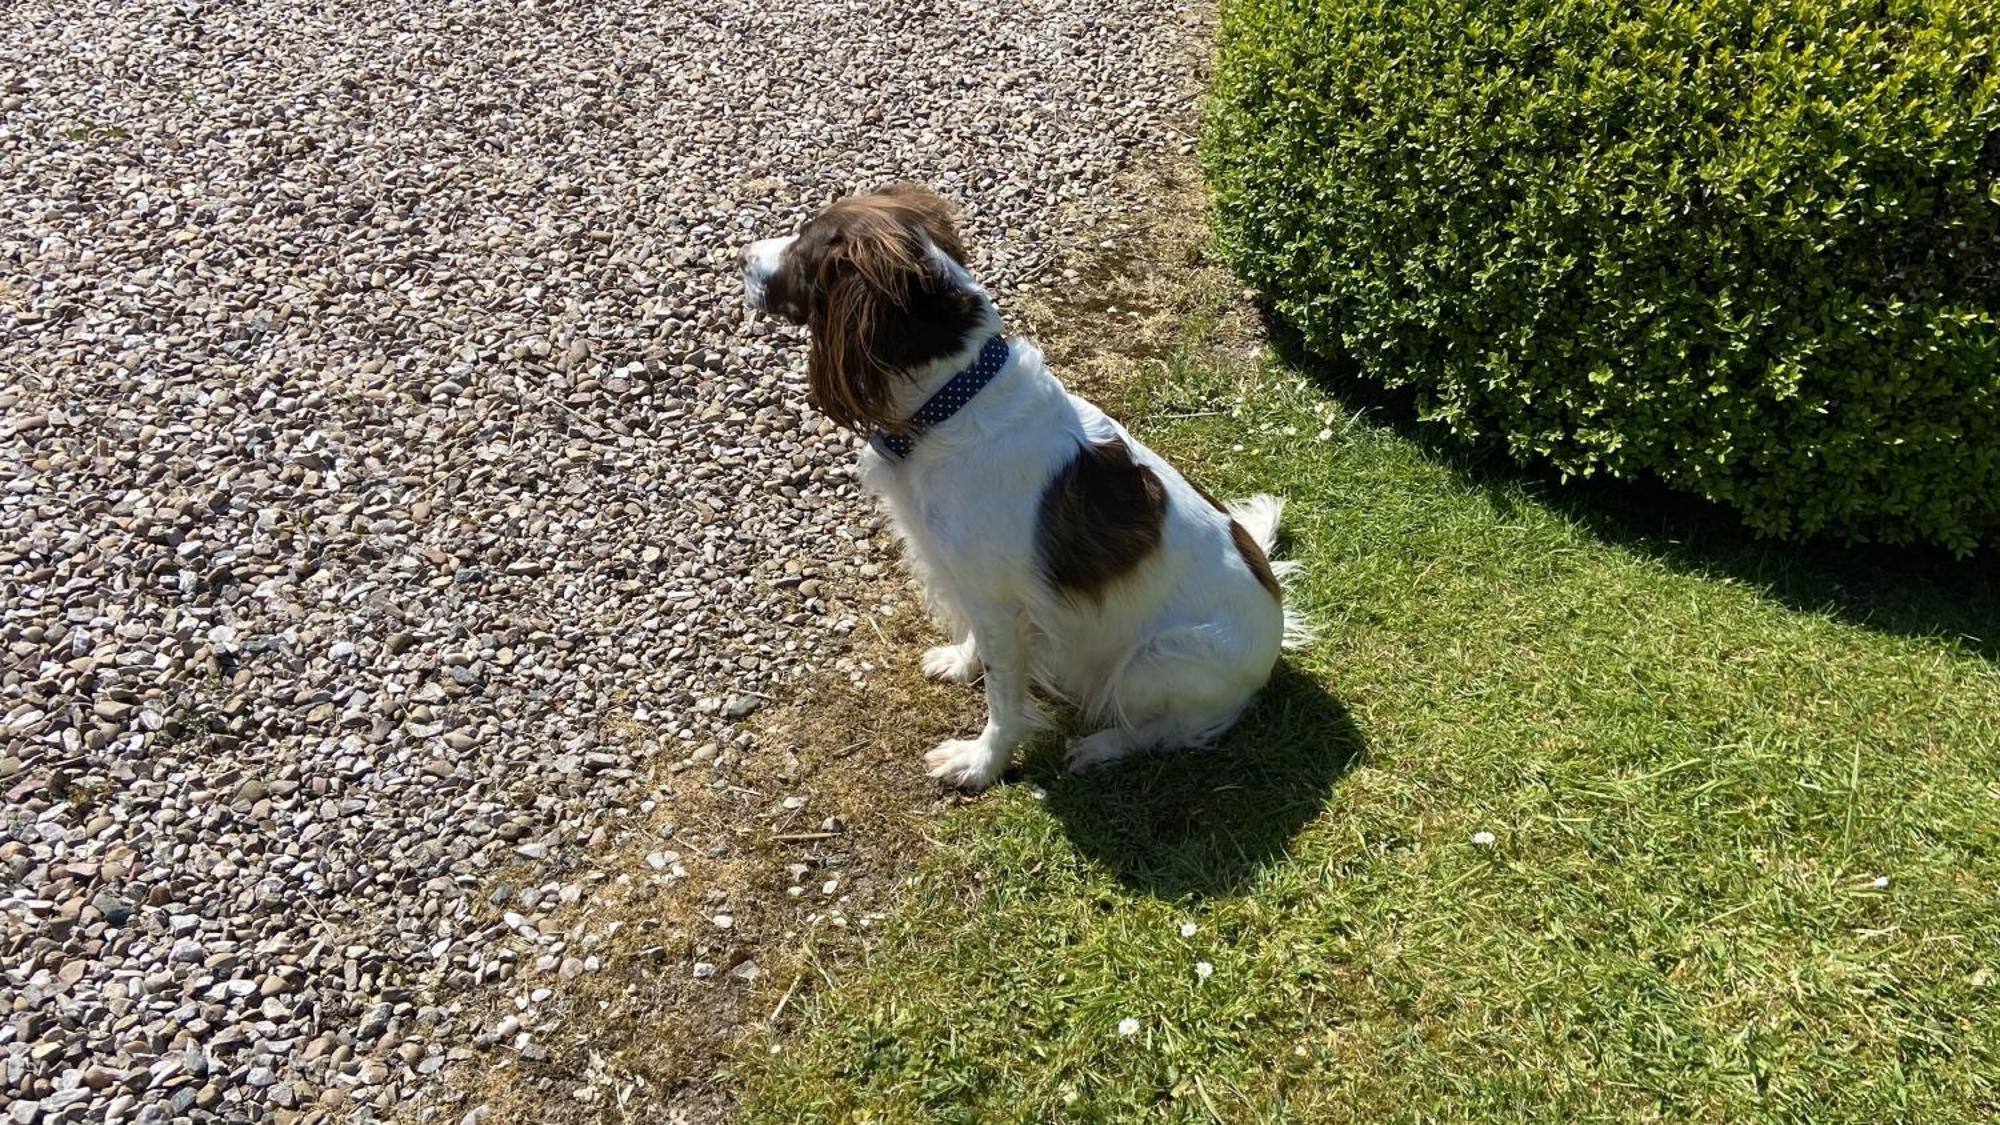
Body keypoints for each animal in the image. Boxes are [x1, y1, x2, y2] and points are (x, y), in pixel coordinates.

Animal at [744, 184, 1304, 784]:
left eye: (805, 246)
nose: (742, 257)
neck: (954, 401)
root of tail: (1277, 611)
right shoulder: (967, 583)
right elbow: (979, 646)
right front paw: (959, 663)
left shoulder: (1001, 606)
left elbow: (1003, 697)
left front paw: (980, 762)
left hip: (1155, 662)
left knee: (1175, 730)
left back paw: (1102, 746)